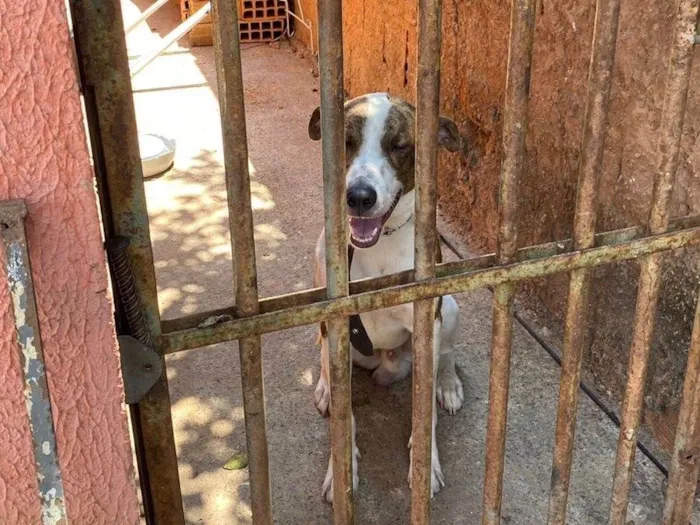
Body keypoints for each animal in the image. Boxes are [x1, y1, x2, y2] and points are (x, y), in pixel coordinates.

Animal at [308, 92, 462, 502]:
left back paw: (448, 384)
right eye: (345, 142)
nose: (359, 197)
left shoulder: (428, 319)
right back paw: (327, 387)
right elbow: (345, 419)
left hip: (450, 308)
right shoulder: (336, 326)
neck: (380, 245)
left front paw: (426, 465)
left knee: (446, 356)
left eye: (399, 146)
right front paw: (341, 470)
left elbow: (425, 413)